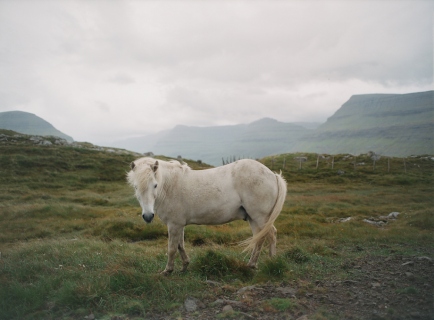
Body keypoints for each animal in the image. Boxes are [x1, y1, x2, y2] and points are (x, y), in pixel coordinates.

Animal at [127, 158, 286, 276]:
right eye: (135, 187)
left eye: (155, 185)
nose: (148, 216)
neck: (170, 186)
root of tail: (273, 175)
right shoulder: (179, 225)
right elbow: (180, 245)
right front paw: (184, 266)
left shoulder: (174, 225)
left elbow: (172, 248)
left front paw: (168, 271)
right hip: (253, 219)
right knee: (260, 238)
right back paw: (256, 264)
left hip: (260, 218)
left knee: (270, 235)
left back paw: (269, 263)